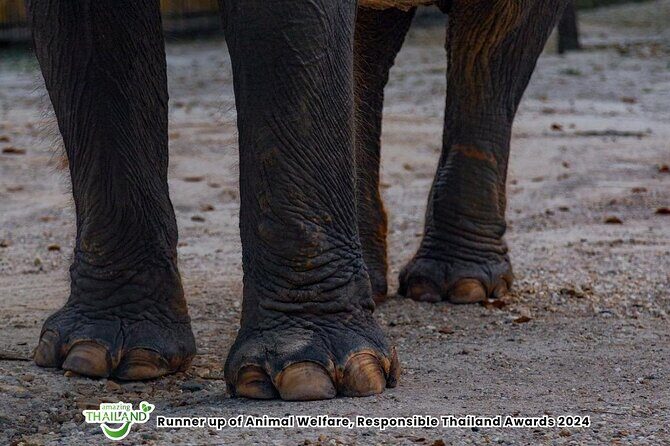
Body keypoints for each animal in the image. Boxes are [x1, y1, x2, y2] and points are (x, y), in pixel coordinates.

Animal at [27, 0, 567, 401]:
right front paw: (97, 356)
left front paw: (307, 378)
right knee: (371, 46)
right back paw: (374, 288)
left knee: (491, 48)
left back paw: (459, 287)